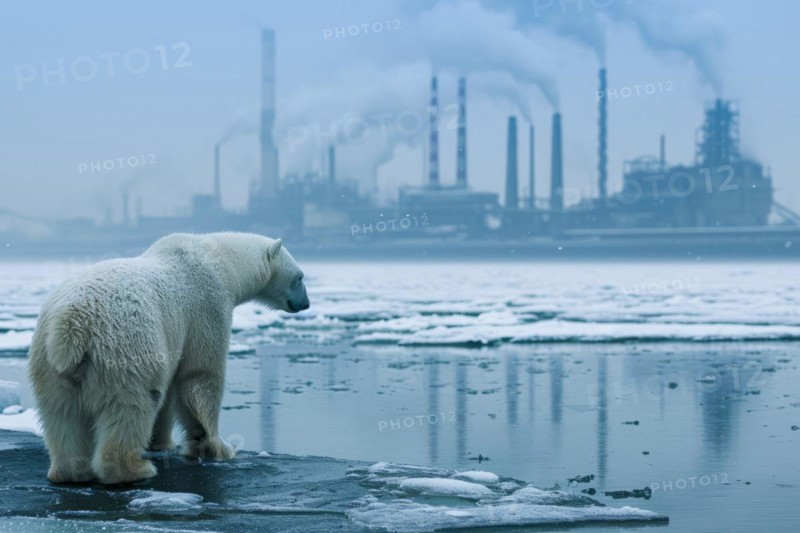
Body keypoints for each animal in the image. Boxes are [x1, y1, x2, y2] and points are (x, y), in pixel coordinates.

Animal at [28, 232, 309, 484]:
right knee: (133, 404)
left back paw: (72, 471)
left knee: (61, 413)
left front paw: (162, 443)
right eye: (300, 277)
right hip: (125, 346)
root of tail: (70, 326)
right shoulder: (207, 307)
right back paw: (133, 470)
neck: (220, 261)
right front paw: (217, 446)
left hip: (48, 361)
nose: (305, 303)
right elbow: (201, 374)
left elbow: (172, 388)